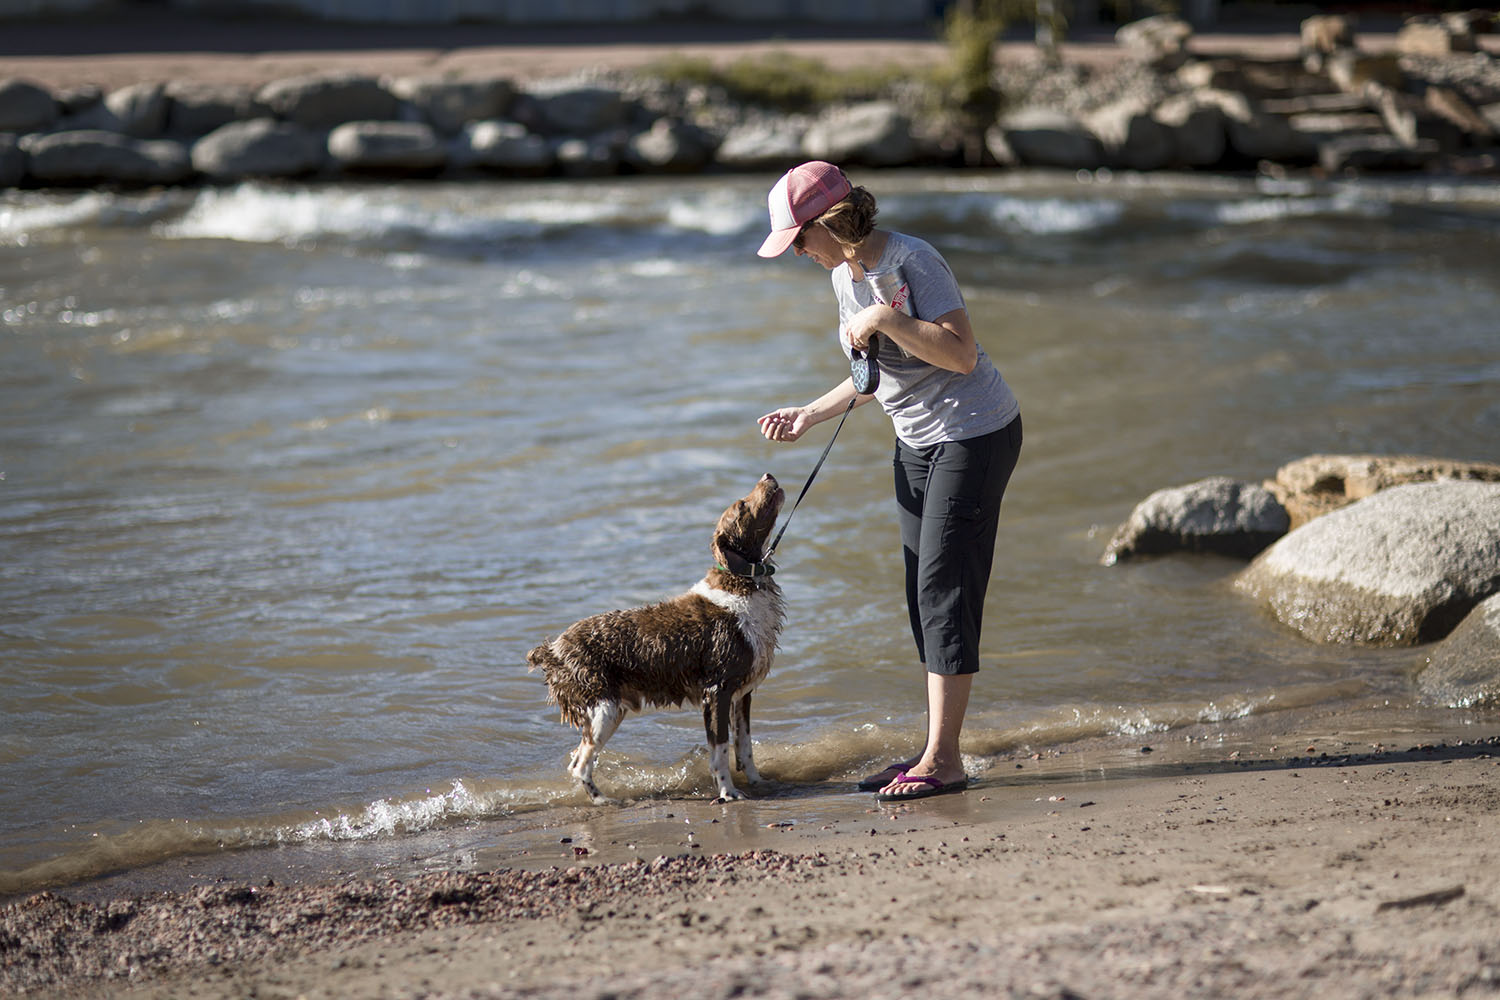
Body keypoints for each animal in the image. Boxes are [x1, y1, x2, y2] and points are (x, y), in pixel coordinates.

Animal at [528, 476, 786, 803]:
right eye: (742, 506)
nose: (768, 476)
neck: (742, 584)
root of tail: (551, 650)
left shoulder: (742, 692)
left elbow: (745, 746)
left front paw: (758, 782)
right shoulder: (717, 690)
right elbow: (720, 751)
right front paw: (728, 793)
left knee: (576, 760)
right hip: (603, 708)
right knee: (581, 765)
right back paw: (604, 800)